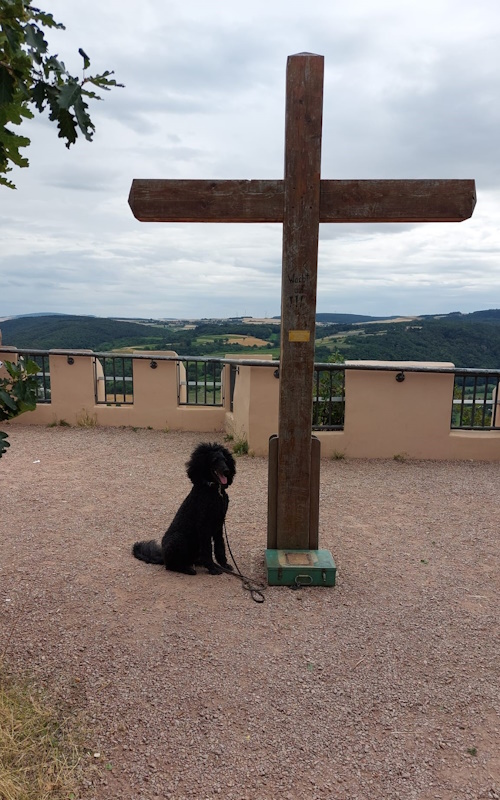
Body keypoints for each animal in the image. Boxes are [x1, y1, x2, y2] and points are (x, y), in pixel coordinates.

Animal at [132, 444, 235, 576]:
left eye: (225, 460)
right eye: (214, 460)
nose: (227, 471)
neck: (214, 491)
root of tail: (163, 557)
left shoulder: (219, 524)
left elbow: (220, 547)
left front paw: (224, 565)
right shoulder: (203, 526)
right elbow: (208, 549)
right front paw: (212, 568)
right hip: (178, 539)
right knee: (171, 566)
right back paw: (187, 569)